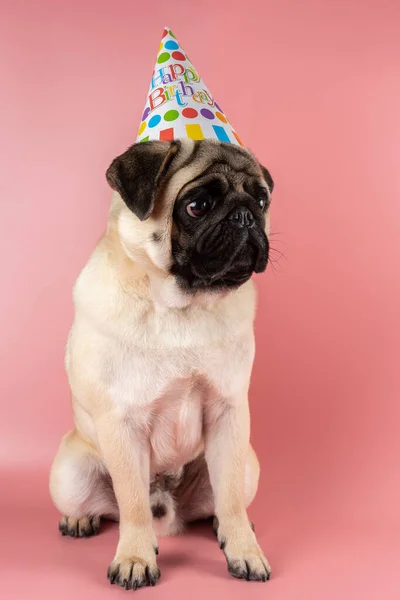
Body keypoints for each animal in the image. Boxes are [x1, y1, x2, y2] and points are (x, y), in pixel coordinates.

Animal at [50, 139, 274, 592]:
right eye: (198, 205)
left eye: (262, 201)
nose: (245, 214)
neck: (183, 306)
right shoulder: (121, 424)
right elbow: (132, 504)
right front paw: (135, 558)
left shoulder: (229, 413)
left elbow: (229, 500)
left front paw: (243, 549)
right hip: (70, 472)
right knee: (117, 506)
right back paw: (80, 518)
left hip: (248, 466)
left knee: (225, 502)